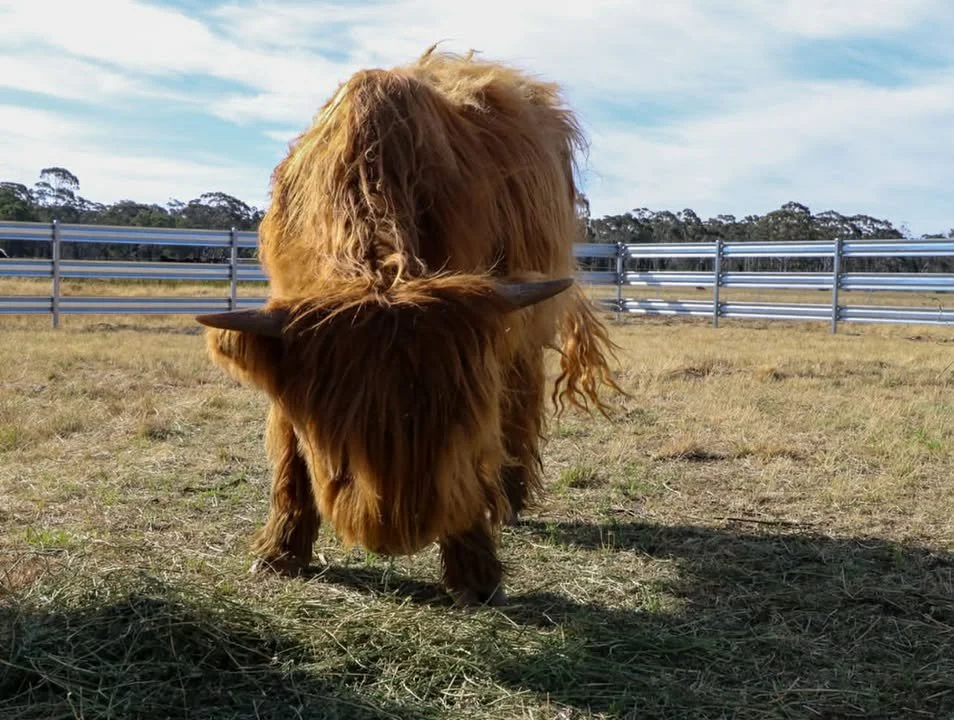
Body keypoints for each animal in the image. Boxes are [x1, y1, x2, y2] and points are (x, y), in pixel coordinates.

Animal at [195, 46, 622, 607]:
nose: (395, 536)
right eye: (337, 444)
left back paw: (508, 497)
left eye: (454, 425)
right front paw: (280, 551)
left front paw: (474, 570)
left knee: (519, 398)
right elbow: (288, 447)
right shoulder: (283, 334)